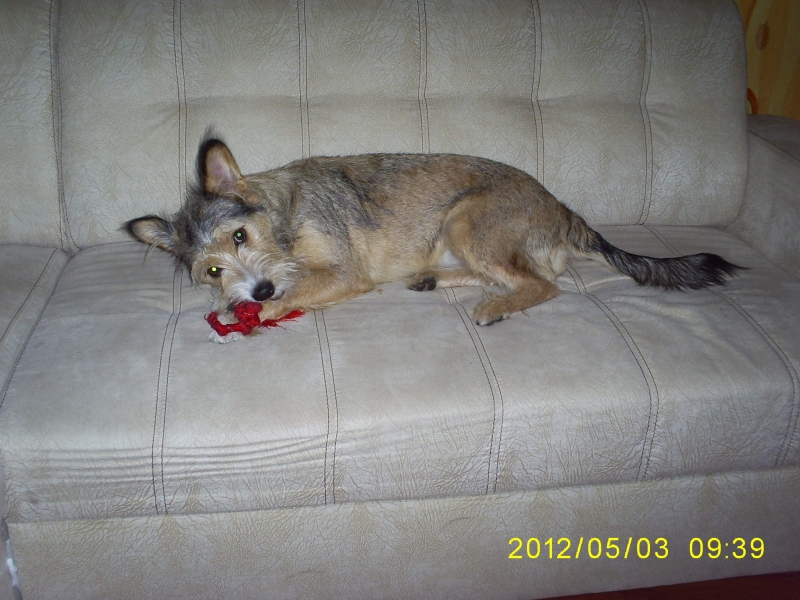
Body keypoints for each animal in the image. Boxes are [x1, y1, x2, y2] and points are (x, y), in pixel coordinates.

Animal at [126, 135, 742, 343]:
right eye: (211, 269)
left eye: (240, 235)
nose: (256, 292)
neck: (283, 217)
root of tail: (565, 211)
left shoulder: (344, 273)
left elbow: (299, 290)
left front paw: (260, 311)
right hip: (455, 231)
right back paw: (433, 279)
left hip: (467, 218)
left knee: (545, 284)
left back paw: (494, 307)